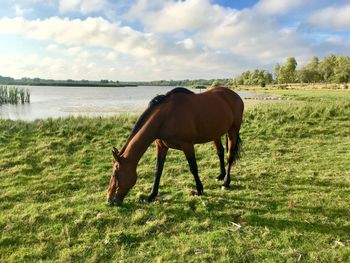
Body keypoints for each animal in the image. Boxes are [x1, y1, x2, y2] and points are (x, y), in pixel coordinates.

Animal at [106, 86, 243, 206]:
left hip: (233, 131)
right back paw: (221, 175)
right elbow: (158, 170)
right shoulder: (161, 147)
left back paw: (226, 183)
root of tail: (235, 95)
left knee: (230, 156)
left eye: (115, 175)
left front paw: (199, 190)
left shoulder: (187, 145)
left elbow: (193, 167)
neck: (166, 116)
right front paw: (151, 195)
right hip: (216, 133)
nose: (109, 200)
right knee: (220, 152)